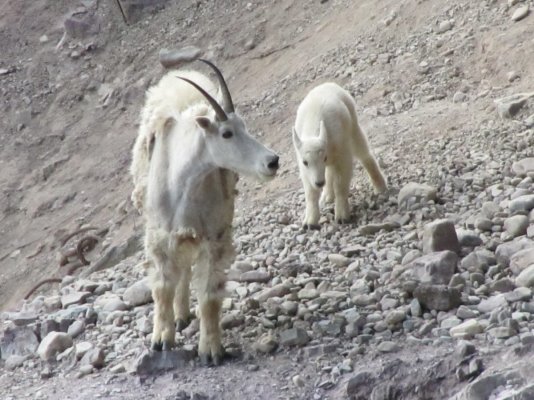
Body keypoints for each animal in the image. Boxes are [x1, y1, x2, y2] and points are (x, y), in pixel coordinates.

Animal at [131, 60, 280, 366]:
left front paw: (211, 350)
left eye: (244, 125)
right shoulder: (160, 236)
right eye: (226, 133)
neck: (184, 182)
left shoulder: (214, 236)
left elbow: (210, 294)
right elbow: (162, 288)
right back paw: (179, 317)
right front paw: (161, 340)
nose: (272, 161)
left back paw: (185, 315)